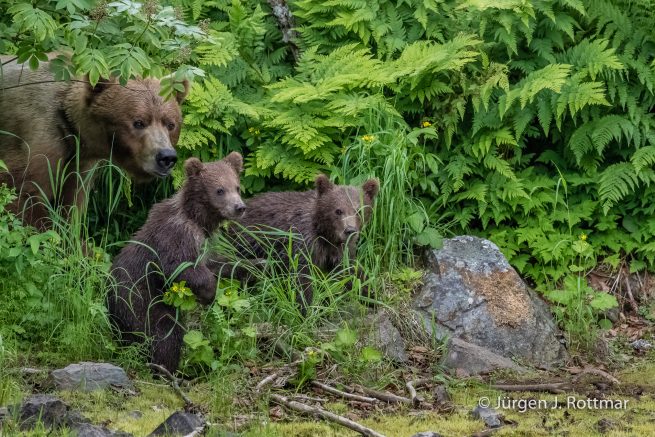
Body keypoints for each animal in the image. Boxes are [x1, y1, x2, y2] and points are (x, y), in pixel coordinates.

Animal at [0, 56, 189, 229]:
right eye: (139, 122)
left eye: (170, 124)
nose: (166, 157)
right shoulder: (38, 135)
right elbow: (23, 192)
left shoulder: (80, 162)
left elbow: (72, 202)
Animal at [107, 152, 245, 373]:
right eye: (220, 190)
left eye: (237, 187)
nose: (239, 207)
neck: (197, 219)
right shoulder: (177, 235)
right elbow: (177, 266)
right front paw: (209, 293)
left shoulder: (204, 244)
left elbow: (215, 264)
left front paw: (255, 265)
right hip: (140, 302)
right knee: (166, 332)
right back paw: (165, 369)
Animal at [221, 174, 380, 312]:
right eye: (338, 210)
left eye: (359, 210)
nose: (350, 230)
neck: (325, 234)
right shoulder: (303, 243)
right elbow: (301, 278)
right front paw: (305, 310)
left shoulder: (339, 250)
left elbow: (351, 271)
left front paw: (372, 296)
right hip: (247, 244)